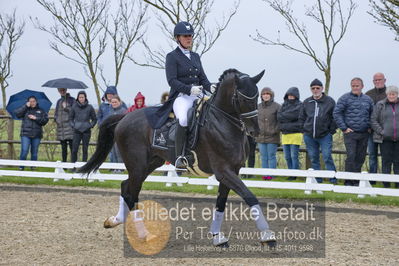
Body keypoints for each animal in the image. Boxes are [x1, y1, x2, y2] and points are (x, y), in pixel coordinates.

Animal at [79, 69, 276, 247]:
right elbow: (250, 196)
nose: (255, 132)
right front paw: (268, 236)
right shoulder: (223, 171)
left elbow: (221, 203)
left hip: (150, 163)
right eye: (242, 99)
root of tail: (124, 117)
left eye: (257, 97)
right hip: (137, 165)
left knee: (125, 186)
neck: (222, 122)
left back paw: (115, 220)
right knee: (132, 193)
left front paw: (217, 237)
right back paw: (144, 235)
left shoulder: (231, 170)